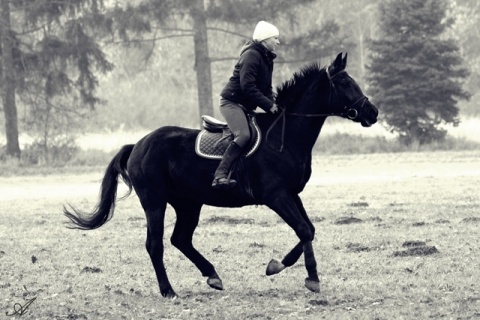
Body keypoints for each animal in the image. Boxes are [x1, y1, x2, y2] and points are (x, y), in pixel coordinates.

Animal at [63, 52, 378, 298]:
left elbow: (309, 229)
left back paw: (212, 275)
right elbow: (302, 229)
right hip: (155, 202)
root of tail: (138, 145)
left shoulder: (291, 194)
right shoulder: (276, 196)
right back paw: (169, 291)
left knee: (181, 239)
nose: (373, 113)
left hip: (188, 203)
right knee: (156, 244)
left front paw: (280, 266)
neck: (286, 133)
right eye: (345, 83)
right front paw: (310, 278)